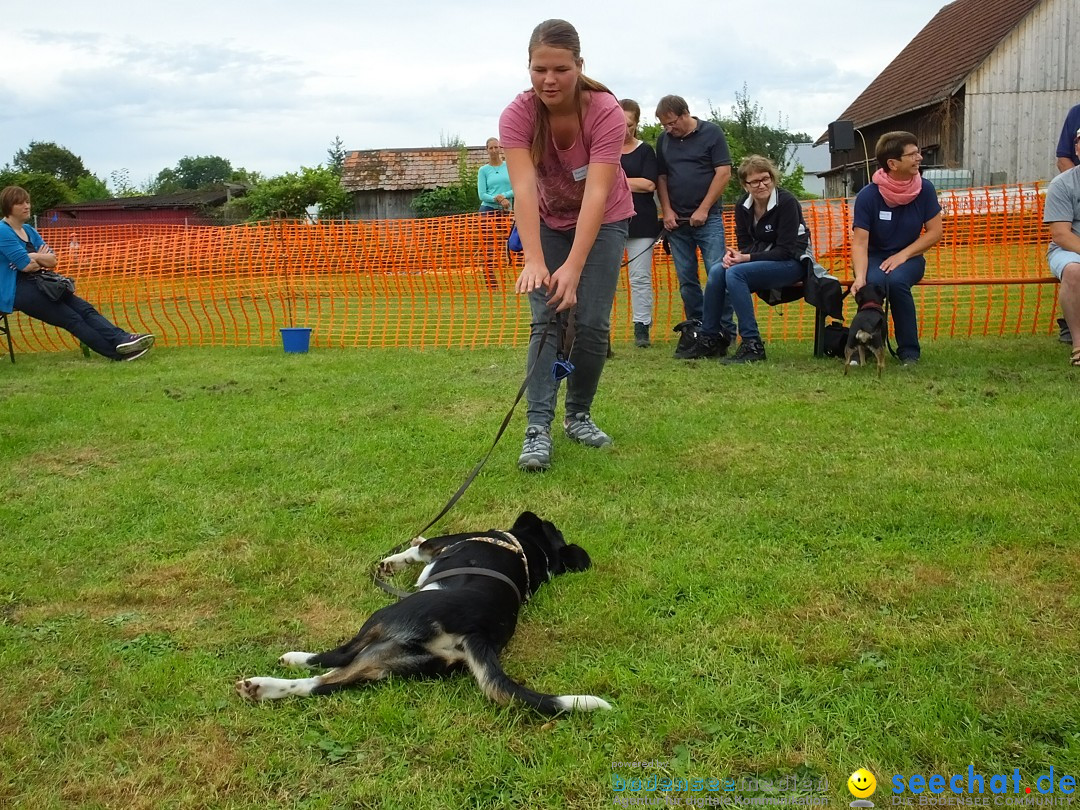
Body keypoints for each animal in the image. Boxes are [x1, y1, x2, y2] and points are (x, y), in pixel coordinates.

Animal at [233, 514, 613, 717]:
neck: (530, 553)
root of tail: (476, 632)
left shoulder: (443, 543)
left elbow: (418, 549)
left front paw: (395, 559)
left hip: (382, 621)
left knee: (335, 657)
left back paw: (285, 664)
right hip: (391, 661)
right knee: (321, 684)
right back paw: (263, 689)